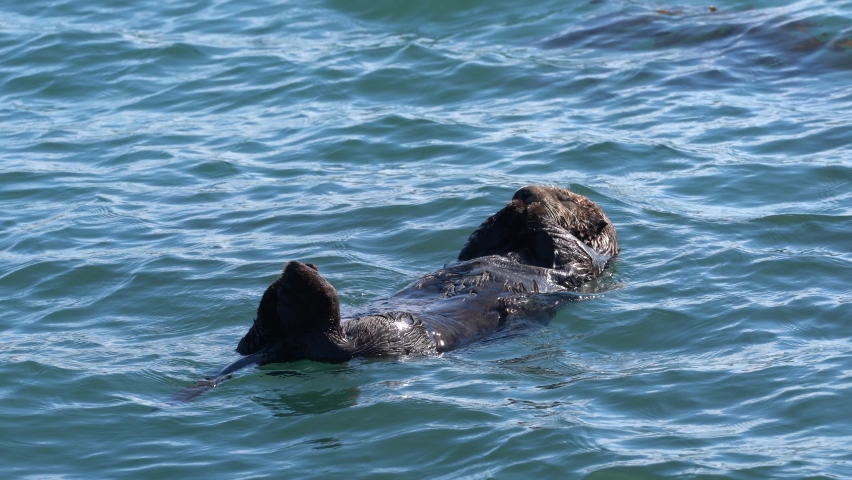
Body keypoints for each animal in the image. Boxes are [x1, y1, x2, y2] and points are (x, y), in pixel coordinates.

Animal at [173, 185, 618, 401]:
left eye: (564, 195)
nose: (524, 192)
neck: (519, 247)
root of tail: (283, 345)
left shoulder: (586, 267)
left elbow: (569, 251)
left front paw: (534, 212)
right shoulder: (484, 248)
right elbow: (475, 244)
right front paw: (507, 211)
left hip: (381, 337)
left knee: (329, 342)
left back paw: (299, 282)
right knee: (252, 341)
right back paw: (285, 285)